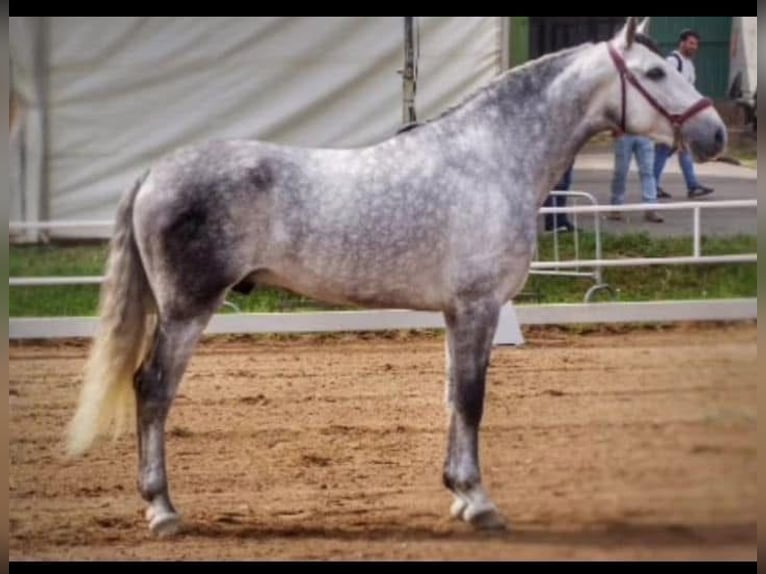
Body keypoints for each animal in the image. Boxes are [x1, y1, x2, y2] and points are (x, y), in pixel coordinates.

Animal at [66, 19, 728, 540]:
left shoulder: (458, 313)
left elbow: (453, 398)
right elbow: (472, 399)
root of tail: (155, 171)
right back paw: (162, 510)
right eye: (655, 72)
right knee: (152, 390)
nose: (716, 134)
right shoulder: (480, 306)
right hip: (186, 310)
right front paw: (480, 503)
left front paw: (458, 495)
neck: (492, 157)